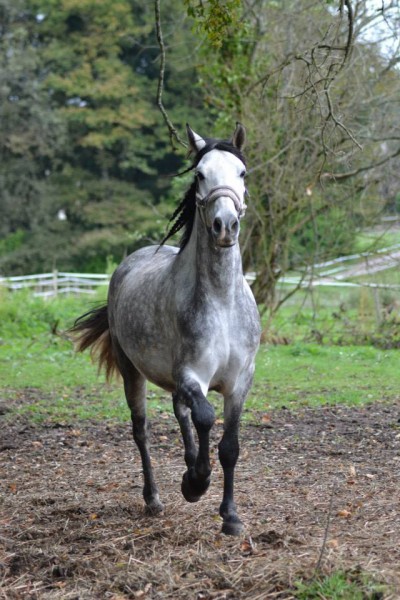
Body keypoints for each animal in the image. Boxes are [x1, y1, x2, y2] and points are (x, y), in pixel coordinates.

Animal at [71, 123, 261, 536]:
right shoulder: (191, 375)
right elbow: (205, 416)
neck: (222, 302)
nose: (225, 226)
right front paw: (195, 483)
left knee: (180, 412)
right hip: (132, 372)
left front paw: (231, 516)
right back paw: (154, 497)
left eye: (242, 173)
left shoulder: (240, 381)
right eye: (200, 174)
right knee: (142, 430)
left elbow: (229, 446)